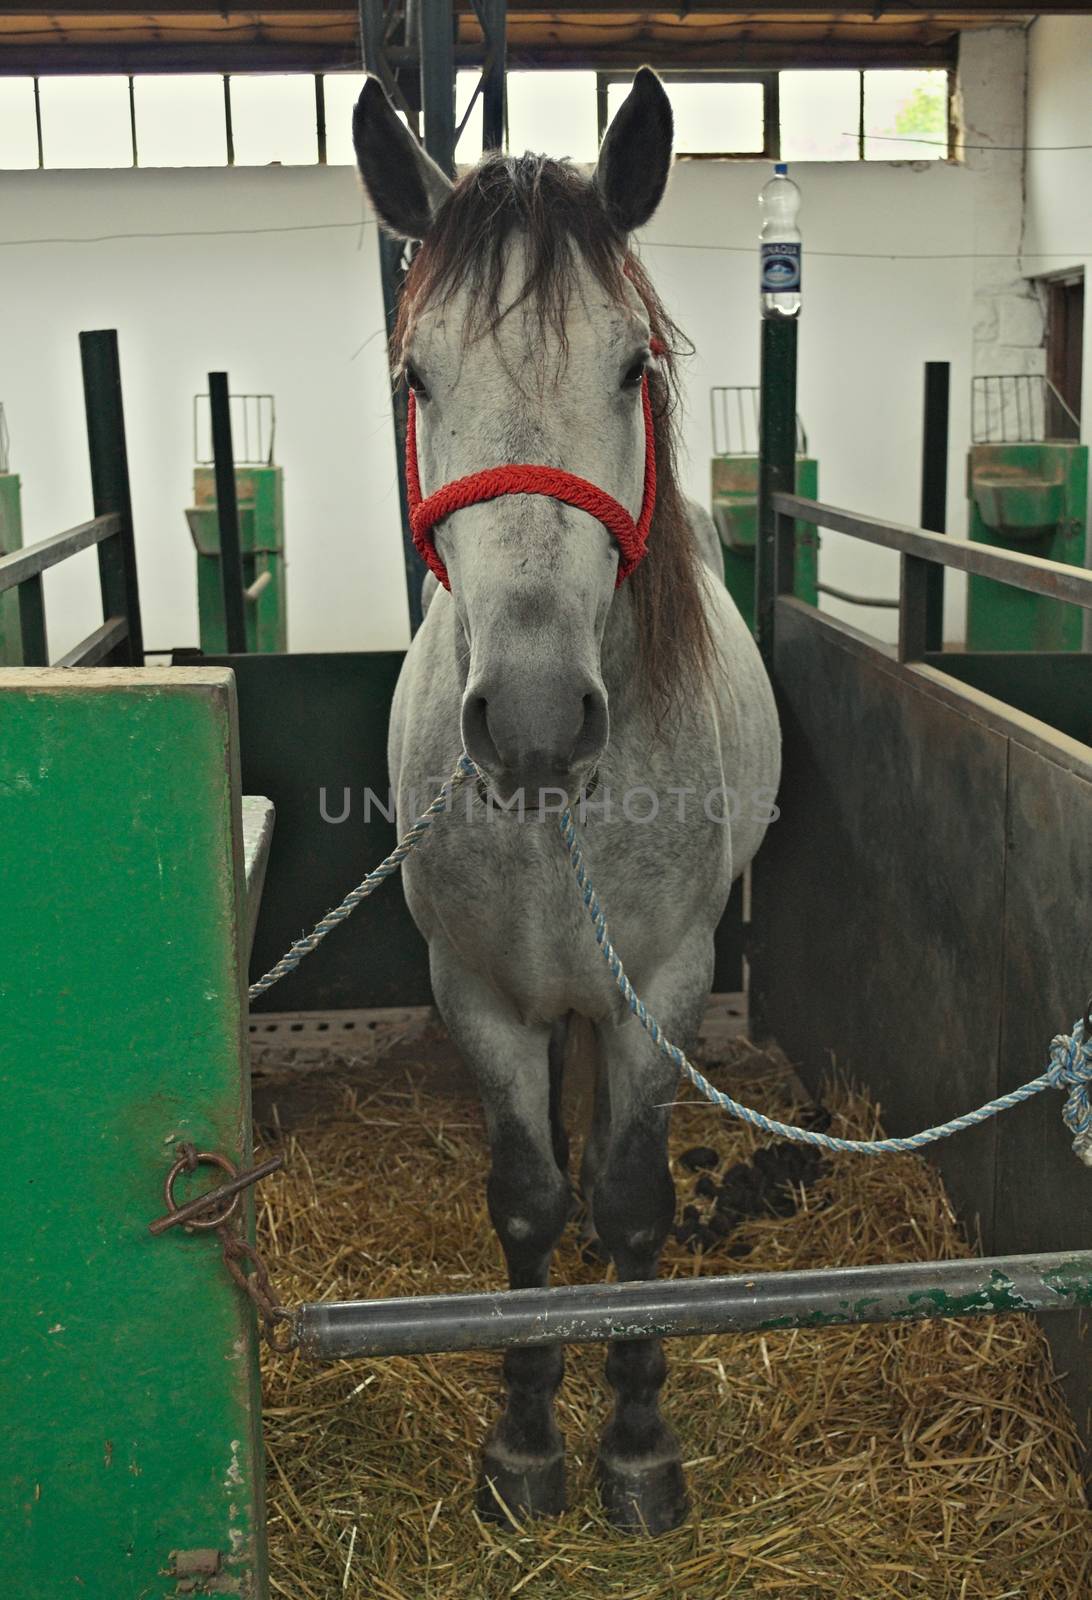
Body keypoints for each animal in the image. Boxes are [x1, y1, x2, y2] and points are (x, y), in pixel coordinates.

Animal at [352, 68, 778, 1529]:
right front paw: (525, 1439)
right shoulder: (479, 994)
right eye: (415, 375)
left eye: (632, 367)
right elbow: (531, 1198)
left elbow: (632, 1197)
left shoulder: (664, 982)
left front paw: (636, 1446)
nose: (534, 721)